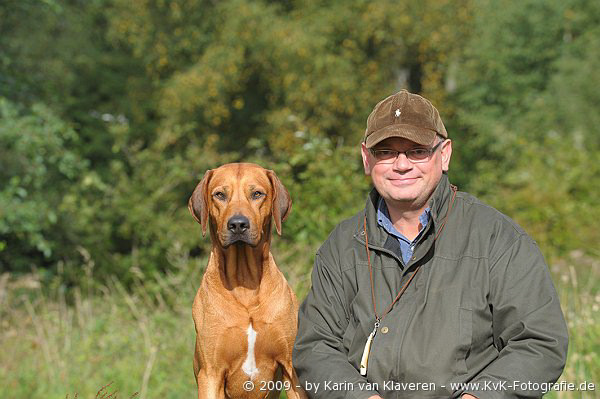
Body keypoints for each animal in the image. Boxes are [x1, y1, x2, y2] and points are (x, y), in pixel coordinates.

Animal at [188, 163, 308, 399]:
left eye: (257, 194)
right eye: (219, 195)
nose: (237, 224)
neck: (245, 284)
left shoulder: (292, 368)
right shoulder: (211, 373)